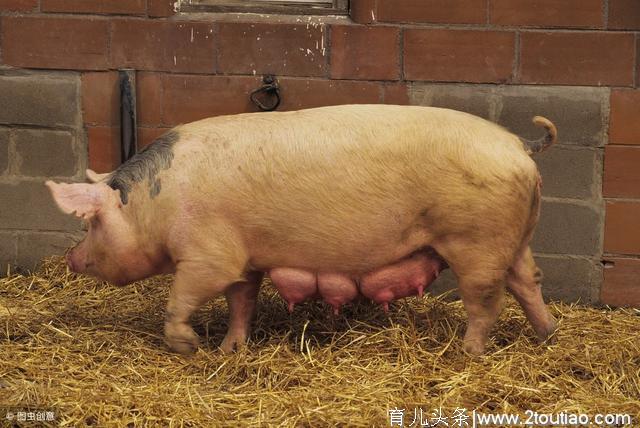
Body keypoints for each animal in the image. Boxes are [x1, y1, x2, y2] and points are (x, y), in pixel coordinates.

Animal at [45, 105, 556, 356]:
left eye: (90, 221)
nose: (71, 257)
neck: (156, 204)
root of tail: (519, 144)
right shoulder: (246, 259)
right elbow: (241, 302)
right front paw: (230, 349)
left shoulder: (209, 255)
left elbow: (181, 298)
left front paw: (191, 349)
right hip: (518, 237)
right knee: (528, 280)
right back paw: (547, 335)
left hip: (476, 241)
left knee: (486, 299)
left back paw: (467, 354)